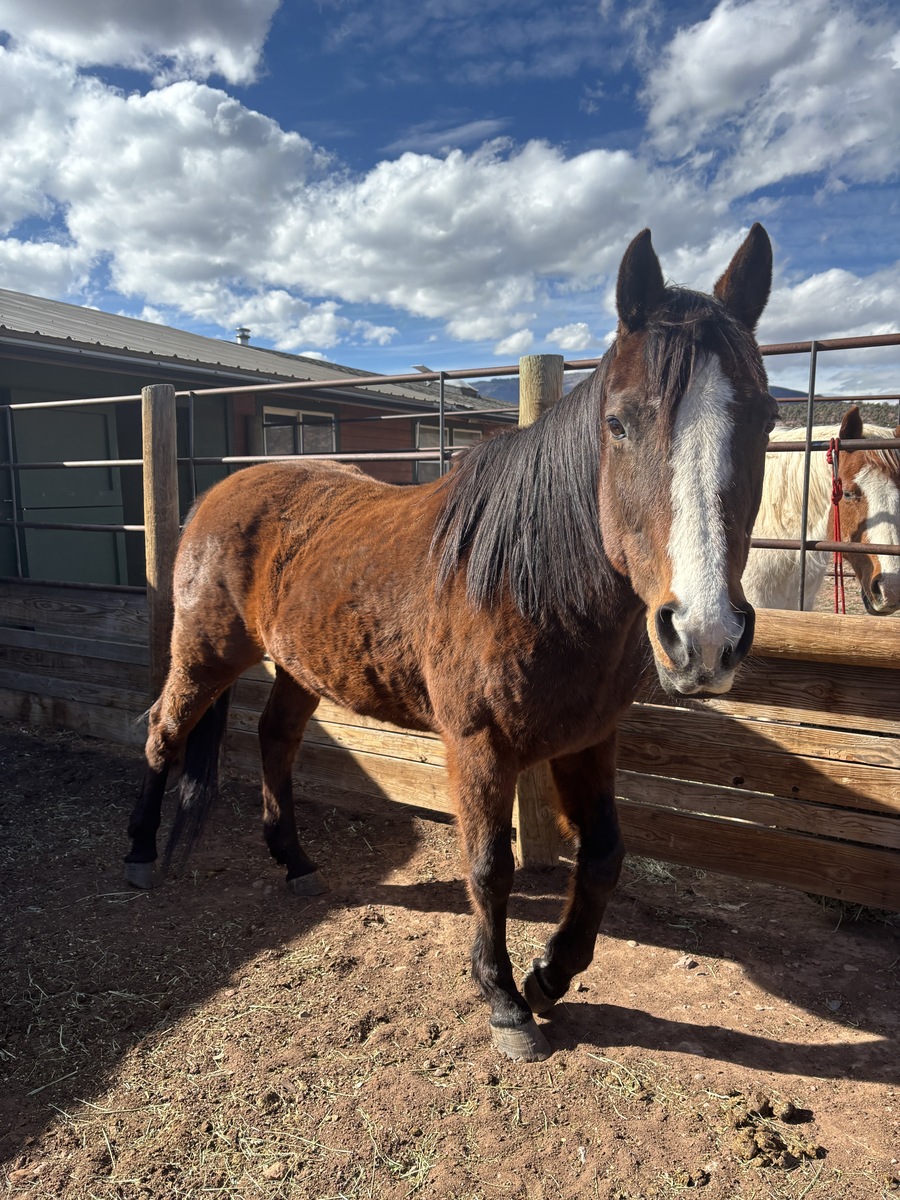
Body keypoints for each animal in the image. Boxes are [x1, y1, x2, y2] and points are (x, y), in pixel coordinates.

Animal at [124, 224, 775, 1062]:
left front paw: (550, 974)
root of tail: (221, 491)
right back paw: (142, 854)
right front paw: (504, 1000)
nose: (703, 635)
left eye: (764, 418)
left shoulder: (590, 739)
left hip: (300, 667)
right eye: (620, 422)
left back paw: (295, 861)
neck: (532, 582)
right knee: (164, 732)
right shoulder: (477, 746)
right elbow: (489, 867)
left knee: (275, 741)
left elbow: (604, 856)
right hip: (206, 651)